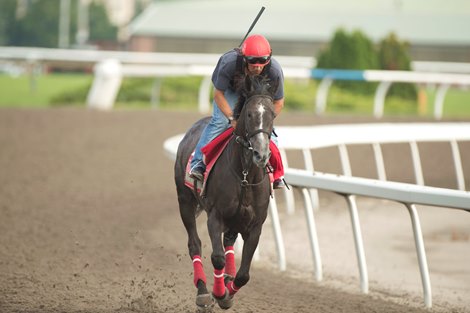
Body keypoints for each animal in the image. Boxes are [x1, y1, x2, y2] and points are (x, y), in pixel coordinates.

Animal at [174, 75, 278, 310]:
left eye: (272, 115)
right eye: (249, 114)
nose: (261, 154)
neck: (245, 175)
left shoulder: (255, 225)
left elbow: (244, 275)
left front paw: (229, 291)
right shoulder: (215, 216)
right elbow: (217, 257)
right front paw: (219, 293)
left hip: (235, 219)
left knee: (229, 242)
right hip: (185, 202)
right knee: (195, 244)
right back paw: (203, 291)